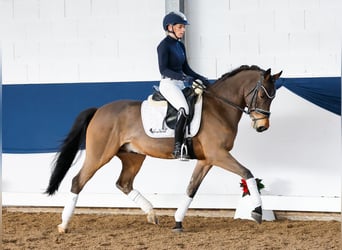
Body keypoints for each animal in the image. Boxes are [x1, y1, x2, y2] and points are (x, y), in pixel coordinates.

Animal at [46, 64, 282, 232]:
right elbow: (247, 173)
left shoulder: (207, 159)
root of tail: (99, 110)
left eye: (273, 97)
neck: (219, 108)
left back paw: (152, 214)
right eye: (263, 95)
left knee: (124, 183)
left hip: (133, 157)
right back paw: (64, 225)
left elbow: (191, 188)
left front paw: (177, 222)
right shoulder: (218, 155)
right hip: (99, 155)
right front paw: (257, 211)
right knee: (78, 181)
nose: (262, 126)